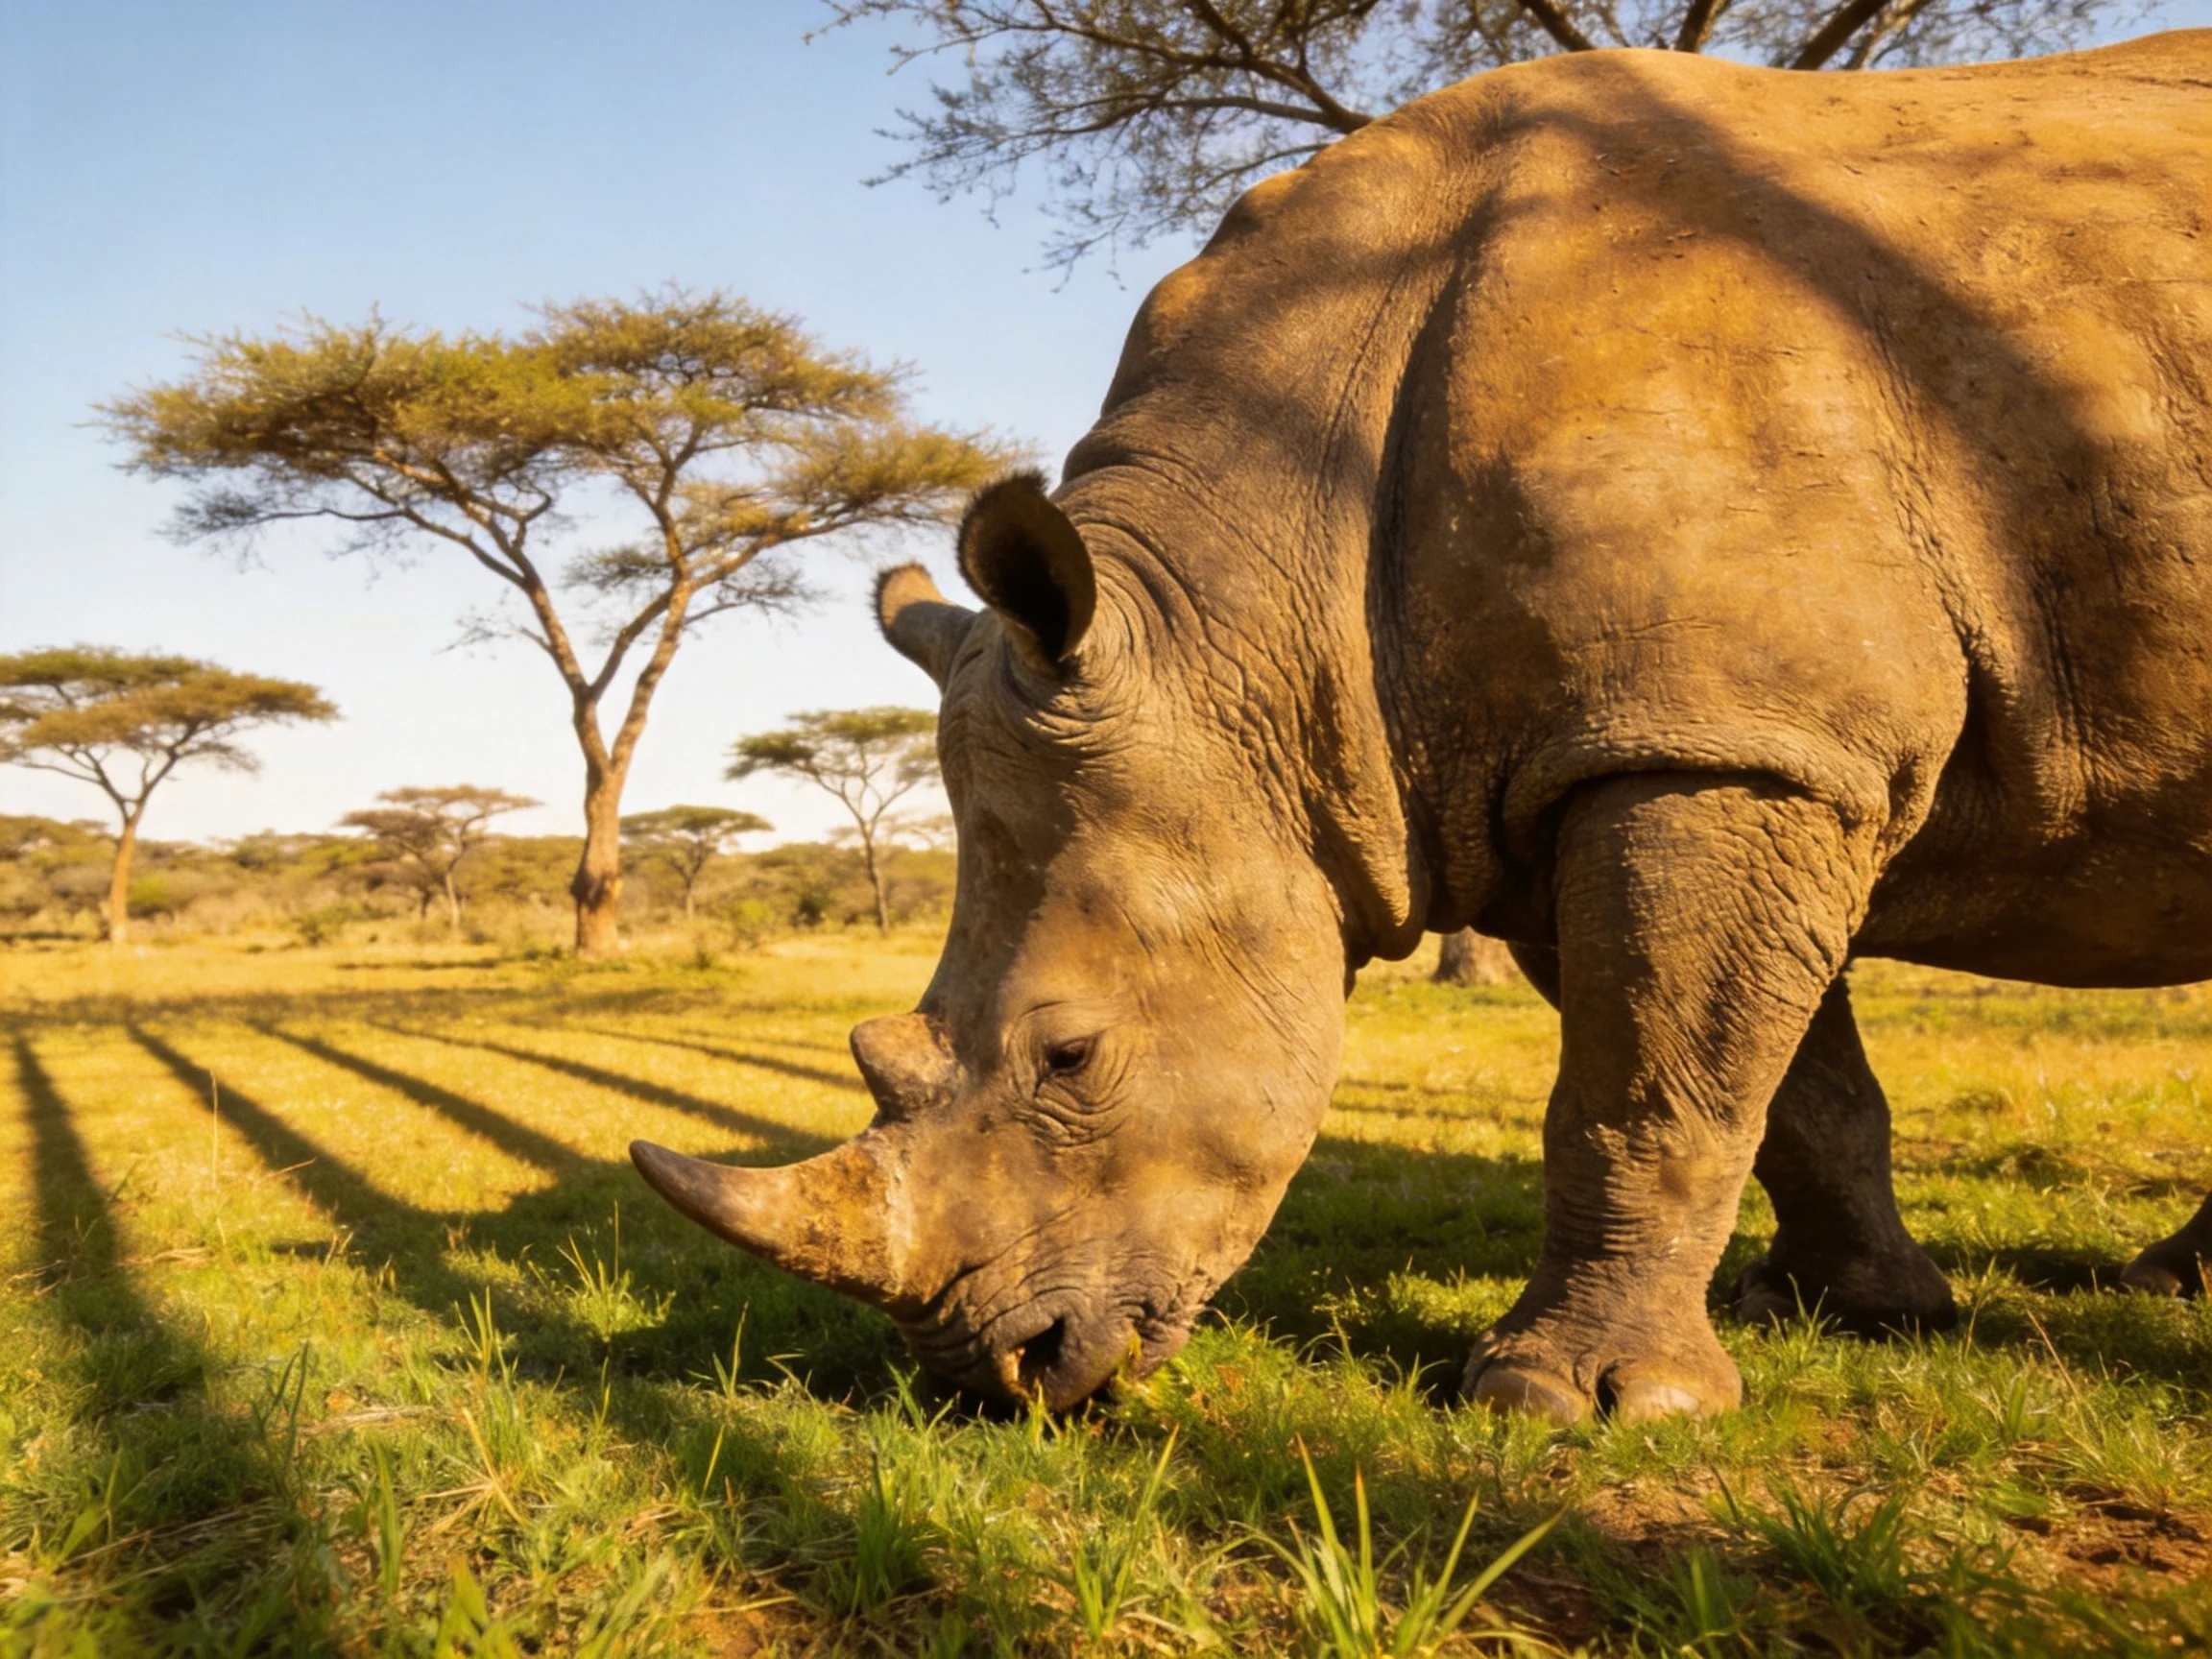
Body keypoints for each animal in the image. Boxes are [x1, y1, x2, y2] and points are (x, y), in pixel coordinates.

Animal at [633, 32, 2212, 1423]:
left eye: (1070, 1059)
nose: (995, 1372)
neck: (1254, 605)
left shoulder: (1722, 742)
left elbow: (1647, 1084)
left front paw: (1578, 1405)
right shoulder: (1660, 744)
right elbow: (1779, 1085)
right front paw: (1856, 1310)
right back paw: (2171, 1287)